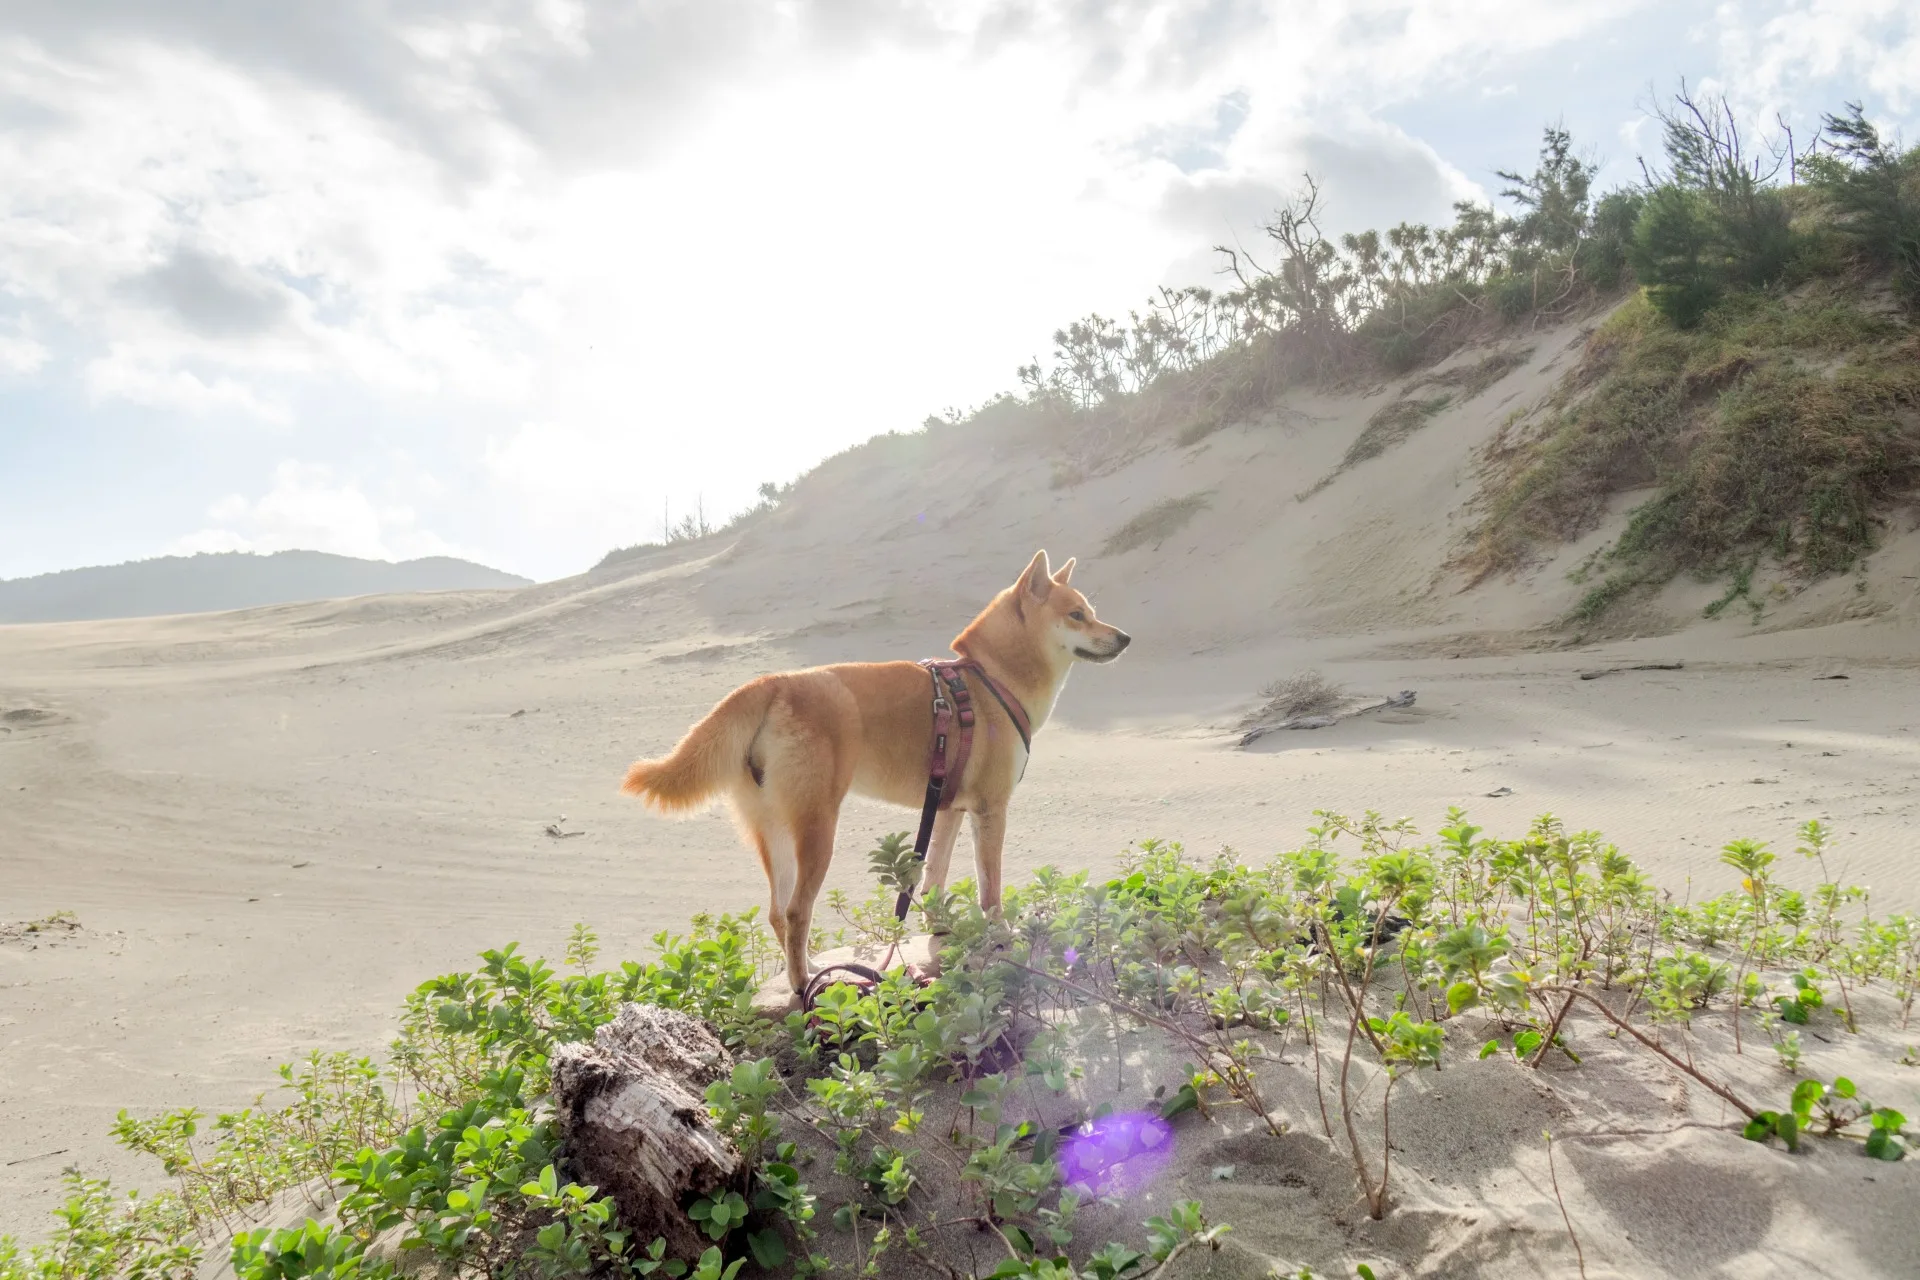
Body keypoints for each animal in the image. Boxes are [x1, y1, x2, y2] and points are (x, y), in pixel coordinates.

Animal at [618, 552, 1121, 990]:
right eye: (1077, 614)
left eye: (1091, 612)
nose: (1125, 638)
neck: (990, 679)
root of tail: (772, 683)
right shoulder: (990, 809)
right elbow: (990, 890)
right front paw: (998, 936)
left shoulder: (947, 809)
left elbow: (933, 881)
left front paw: (941, 931)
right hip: (818, 830)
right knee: (797, 912)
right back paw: (803, 984)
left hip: (774, 830)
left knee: (778, 913)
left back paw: (812, 967)